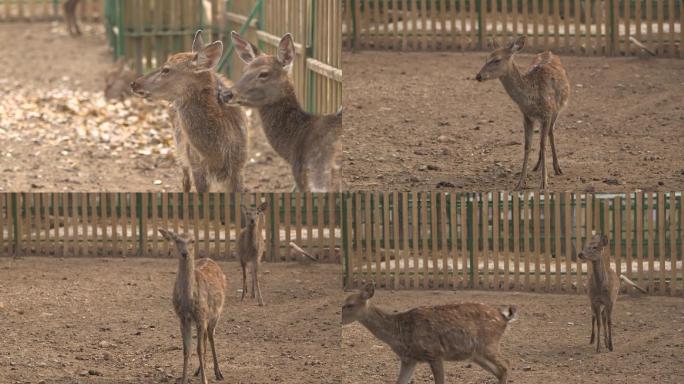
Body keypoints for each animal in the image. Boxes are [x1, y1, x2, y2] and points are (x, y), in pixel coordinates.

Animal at [130, 30, 247, 194]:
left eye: (166, 69)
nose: (134, 83)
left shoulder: (239, 167)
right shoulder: (196, 165)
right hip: (179, 145)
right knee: (185, 178)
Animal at [158, 228, 227, 384]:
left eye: (193, 240)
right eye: (177, 240)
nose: (185, 253)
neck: (188, 302)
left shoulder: (201, 315)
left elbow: (199, 349)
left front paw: (205, 380)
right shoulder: (183, 318)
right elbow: (186, 350)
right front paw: (184, 380)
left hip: (216, 313)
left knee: (211, 335)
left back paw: (218, 372)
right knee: (206, 336)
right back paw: (199, 370)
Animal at [344, 282, 516, 384]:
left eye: (349, 304)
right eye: (343, 303)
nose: (340, 320)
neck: (399, 333)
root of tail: (504, 317)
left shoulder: (434, 353)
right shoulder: (409, 359)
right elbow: (400, 381)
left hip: (489, 345)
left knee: (506, 364)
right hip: (476, 354)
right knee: (500, 370)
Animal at [472, 36, 568, 190]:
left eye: (497, 60)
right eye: (486, 58)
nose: (478, 76)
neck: (532, 97)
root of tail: (549, 52)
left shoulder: (547, 112)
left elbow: (543, 144)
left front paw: (544, 183)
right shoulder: (526, 115)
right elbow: (527, 146)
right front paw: (520, 182)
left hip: (559, 108)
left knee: (551, 132)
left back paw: (557, 168)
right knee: (546, 134)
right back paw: (537, 166)